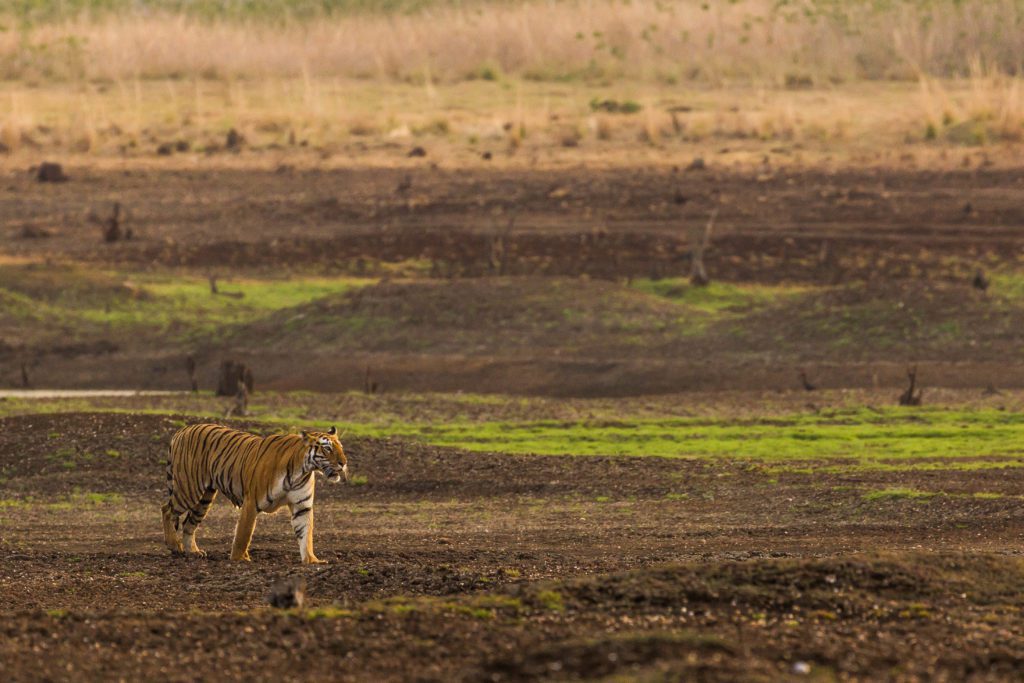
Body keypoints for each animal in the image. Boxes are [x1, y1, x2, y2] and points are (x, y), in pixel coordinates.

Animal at [159, 423, 350, 565]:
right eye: (327, 449)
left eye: (340, 447)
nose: (344, 463)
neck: (301, 470)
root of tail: (182, 430)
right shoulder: (251, 502)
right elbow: (244, 533)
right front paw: (239, 559)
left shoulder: (301, 506)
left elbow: (306, 534)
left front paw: (311, 560)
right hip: (189, 488)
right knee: (167, 509)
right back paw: (174, 545)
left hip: (205, 497)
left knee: (189, 523)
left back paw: (193, 551)